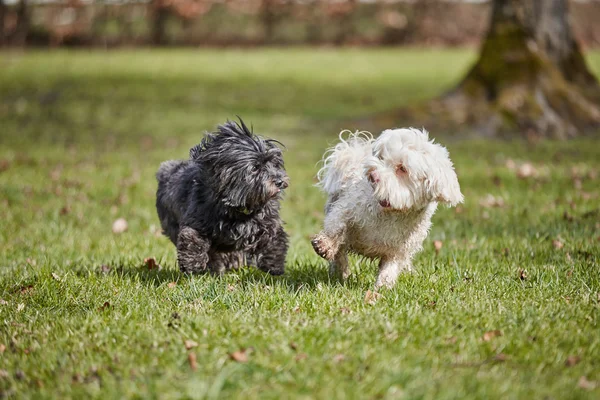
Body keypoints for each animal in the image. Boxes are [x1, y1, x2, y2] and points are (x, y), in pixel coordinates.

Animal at [156, 119, 290, 276]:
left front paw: (274, 265)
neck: (238, 207)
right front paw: (192, 264)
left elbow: (274, 238)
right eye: (255, 167)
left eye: (274, 163)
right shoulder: (197, 221)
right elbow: (192, 239)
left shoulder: (267, 221)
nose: (279, 181)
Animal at [312, 128, 462, 288]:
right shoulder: (347, 208)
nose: (372, 175)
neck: (392, 212)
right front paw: (325, 244)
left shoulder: (399, 250)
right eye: (382, 158)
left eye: (402, 168)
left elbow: (390, 268)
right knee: (340, 252)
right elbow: (336, 227)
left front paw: (382, 288)